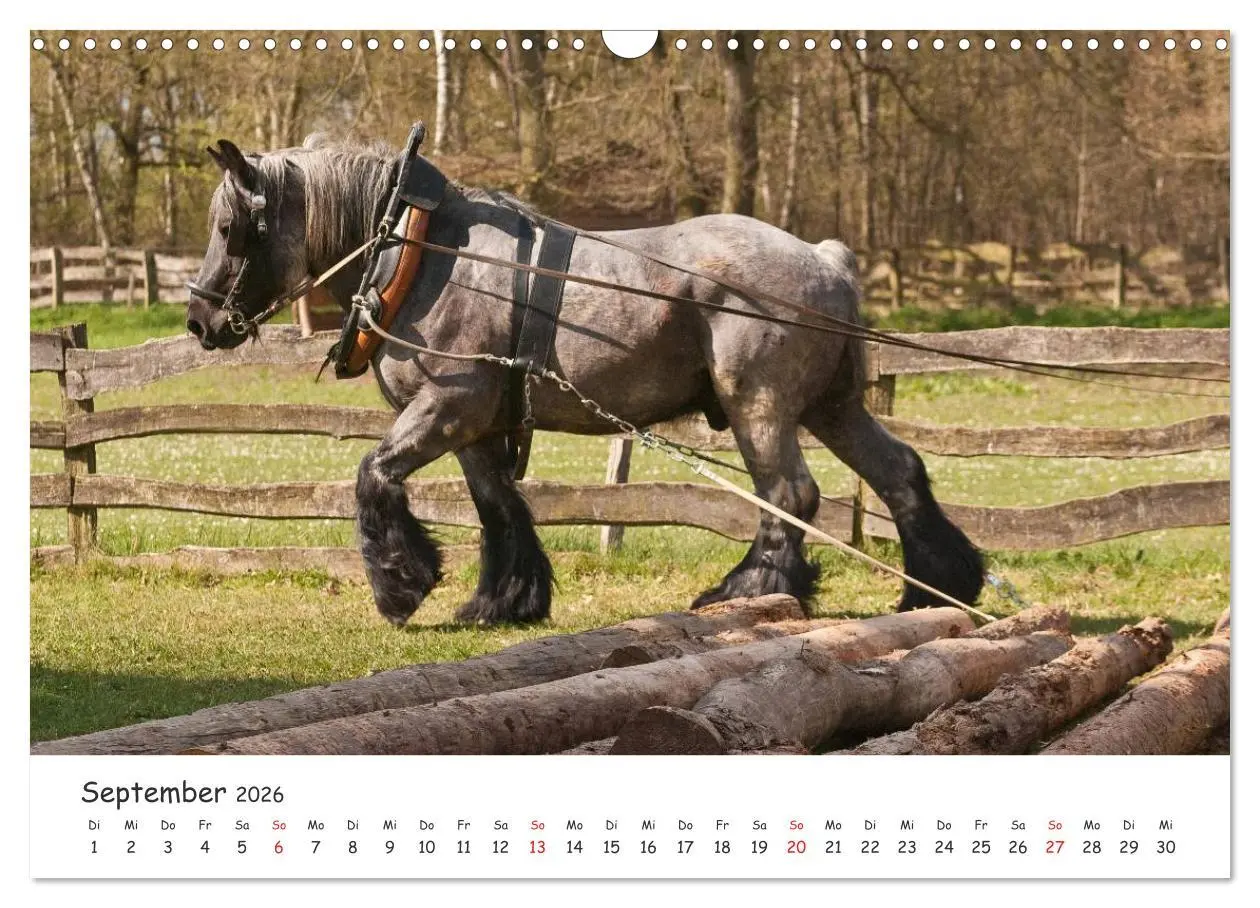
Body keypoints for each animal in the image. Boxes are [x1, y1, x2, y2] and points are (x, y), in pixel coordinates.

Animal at [186, 136, 985, 626]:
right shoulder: (475, 424)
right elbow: (499, 508)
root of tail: (825, 258)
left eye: (230, 230)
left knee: (788, 494)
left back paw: (747, 591)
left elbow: (373, 475)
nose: (199, 318)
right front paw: (504, 600)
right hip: (831, 406)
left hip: (758, 405)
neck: (418, 251)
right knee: (900, 472)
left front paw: (400, 585)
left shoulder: (448, 404)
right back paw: (937, 588)